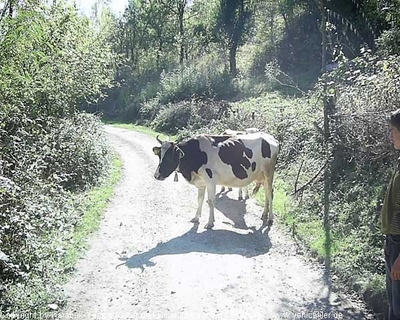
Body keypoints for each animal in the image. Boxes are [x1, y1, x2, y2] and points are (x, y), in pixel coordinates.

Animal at [152, 134, 280, 229]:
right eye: (159, 156)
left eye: (169, 156)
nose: (157, 175)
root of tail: (270, 137)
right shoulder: (201, 182)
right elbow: (200, 199)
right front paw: (196, 217)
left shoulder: (210, 181)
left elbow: (210, 201)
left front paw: (209, 223)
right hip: (262, 175)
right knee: (268, 193)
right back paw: (264, 215)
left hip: (269, 172)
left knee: (270, 193)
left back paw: (270, 219)